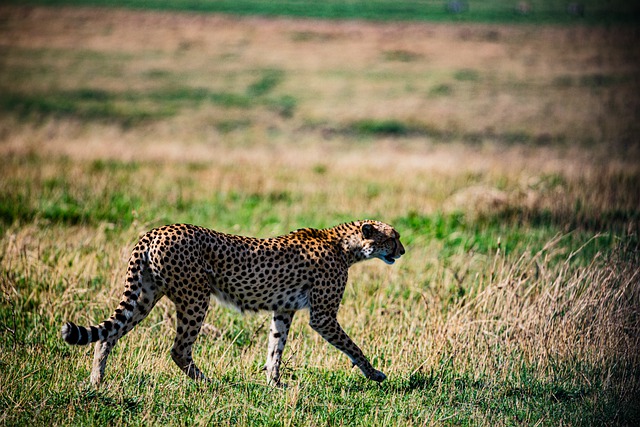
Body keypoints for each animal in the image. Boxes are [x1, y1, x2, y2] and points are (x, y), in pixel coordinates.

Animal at [63, 221, 404, 388]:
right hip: (195, 297)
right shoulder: (322, 316)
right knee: (179, 349)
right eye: (394, 236)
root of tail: (156, 231)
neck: (344, 245)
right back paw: (209, 383)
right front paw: (374, 373)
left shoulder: (284, 310)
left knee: (108, 334)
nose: (402, 250)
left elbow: (275, 348)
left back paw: (96, 381)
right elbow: (352, 346)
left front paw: (274, 383)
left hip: (145, 296)